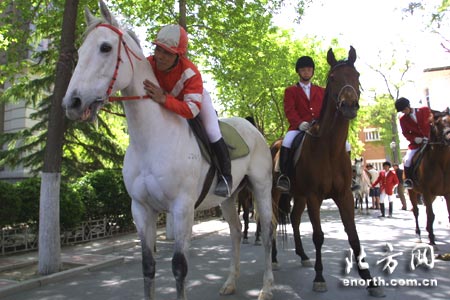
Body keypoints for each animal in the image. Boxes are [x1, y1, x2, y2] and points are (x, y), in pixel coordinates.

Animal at [62, 1, 274, 298]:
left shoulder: (182, 209)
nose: (72, 102)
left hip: (261, 188)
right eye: (79, 52)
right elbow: (148, 266)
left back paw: (267, 287)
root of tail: (252, 127)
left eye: (105, 47)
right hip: (229, 197)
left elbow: (179, 268)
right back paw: (230, 282)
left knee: (267, 232)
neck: (151, 140)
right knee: (234, 231)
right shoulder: (141, 209)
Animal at [270, 47, 384, 298]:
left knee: (294, 219)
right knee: (271, 223)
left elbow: (353, 235)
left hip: (298, 196)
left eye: (357, 75)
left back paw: (302, 256)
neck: (329, 148)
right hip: (275, 194)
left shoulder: (345, 195)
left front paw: (369, 279)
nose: (349, 105)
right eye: (332, 78)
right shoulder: (314, 197)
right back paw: (272, 259)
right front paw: (320, 278)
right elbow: (319, 236)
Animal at [406, 109, 448, 245]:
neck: (441, 162)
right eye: (438, 123)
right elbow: (430, 214)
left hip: (433, 195)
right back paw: (419, 235)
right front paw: (431, 239)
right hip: (413, 192)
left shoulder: (447, 193)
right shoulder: (426, 191)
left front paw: (432, 235)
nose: (449, 137)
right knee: (416, 211)